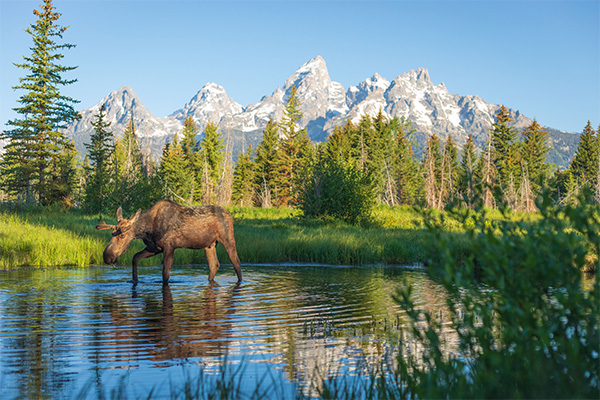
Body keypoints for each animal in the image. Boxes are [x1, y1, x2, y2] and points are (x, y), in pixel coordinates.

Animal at [96, 200, 241, 284]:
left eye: (122, 235)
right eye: (112, 234)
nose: (107, 256)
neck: (148, 229)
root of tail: (230, 215)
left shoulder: (169, 247)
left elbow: (165, 273)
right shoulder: (154, 248)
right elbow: (135, 258)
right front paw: (134, 280)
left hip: (228, 238)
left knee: (236, 262)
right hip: (209, 245)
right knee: (214, 265)